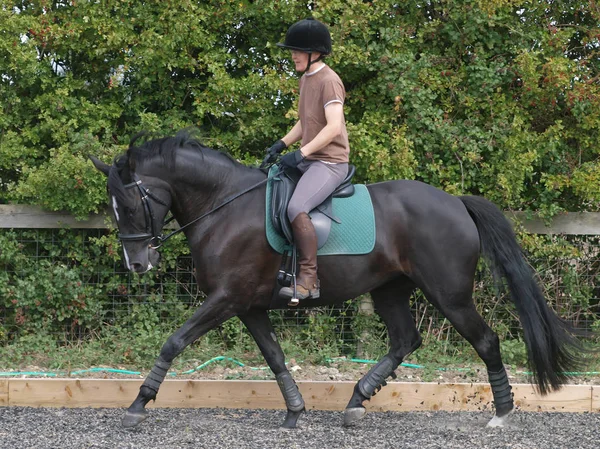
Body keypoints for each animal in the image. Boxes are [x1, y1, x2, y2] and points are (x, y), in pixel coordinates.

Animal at [90, 130, 584, 428]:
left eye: (129, 205)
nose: (137, 264)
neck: (224, 206)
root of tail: (456, 202)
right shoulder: (247, 305)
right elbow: (274, 356)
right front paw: (294, 412)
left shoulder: (226, 299)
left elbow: (174, 341)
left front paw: (137, 405)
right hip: (389, 290)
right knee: (406, 339)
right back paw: (356, 401)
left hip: (450, 294)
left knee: (485, 340)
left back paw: (501, 414)